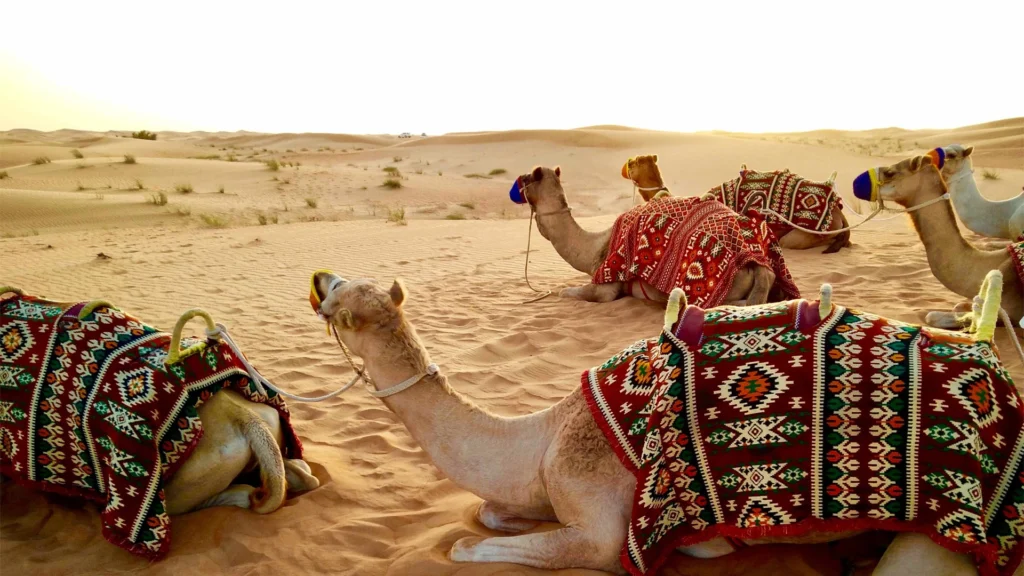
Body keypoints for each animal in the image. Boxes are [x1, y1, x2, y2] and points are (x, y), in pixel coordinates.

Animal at [310, 270, 1006, 576]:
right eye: (344, 284)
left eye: (338, 303)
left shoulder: (599, 525)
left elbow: (470, 544)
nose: (318, 276)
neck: (542, 437)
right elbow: (489, 512)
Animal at [520, 166, 792, 306]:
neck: (594, 247)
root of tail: (758, 264)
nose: (518, 182)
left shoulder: (607, 283)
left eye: (527, 178)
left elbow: (573, 293)